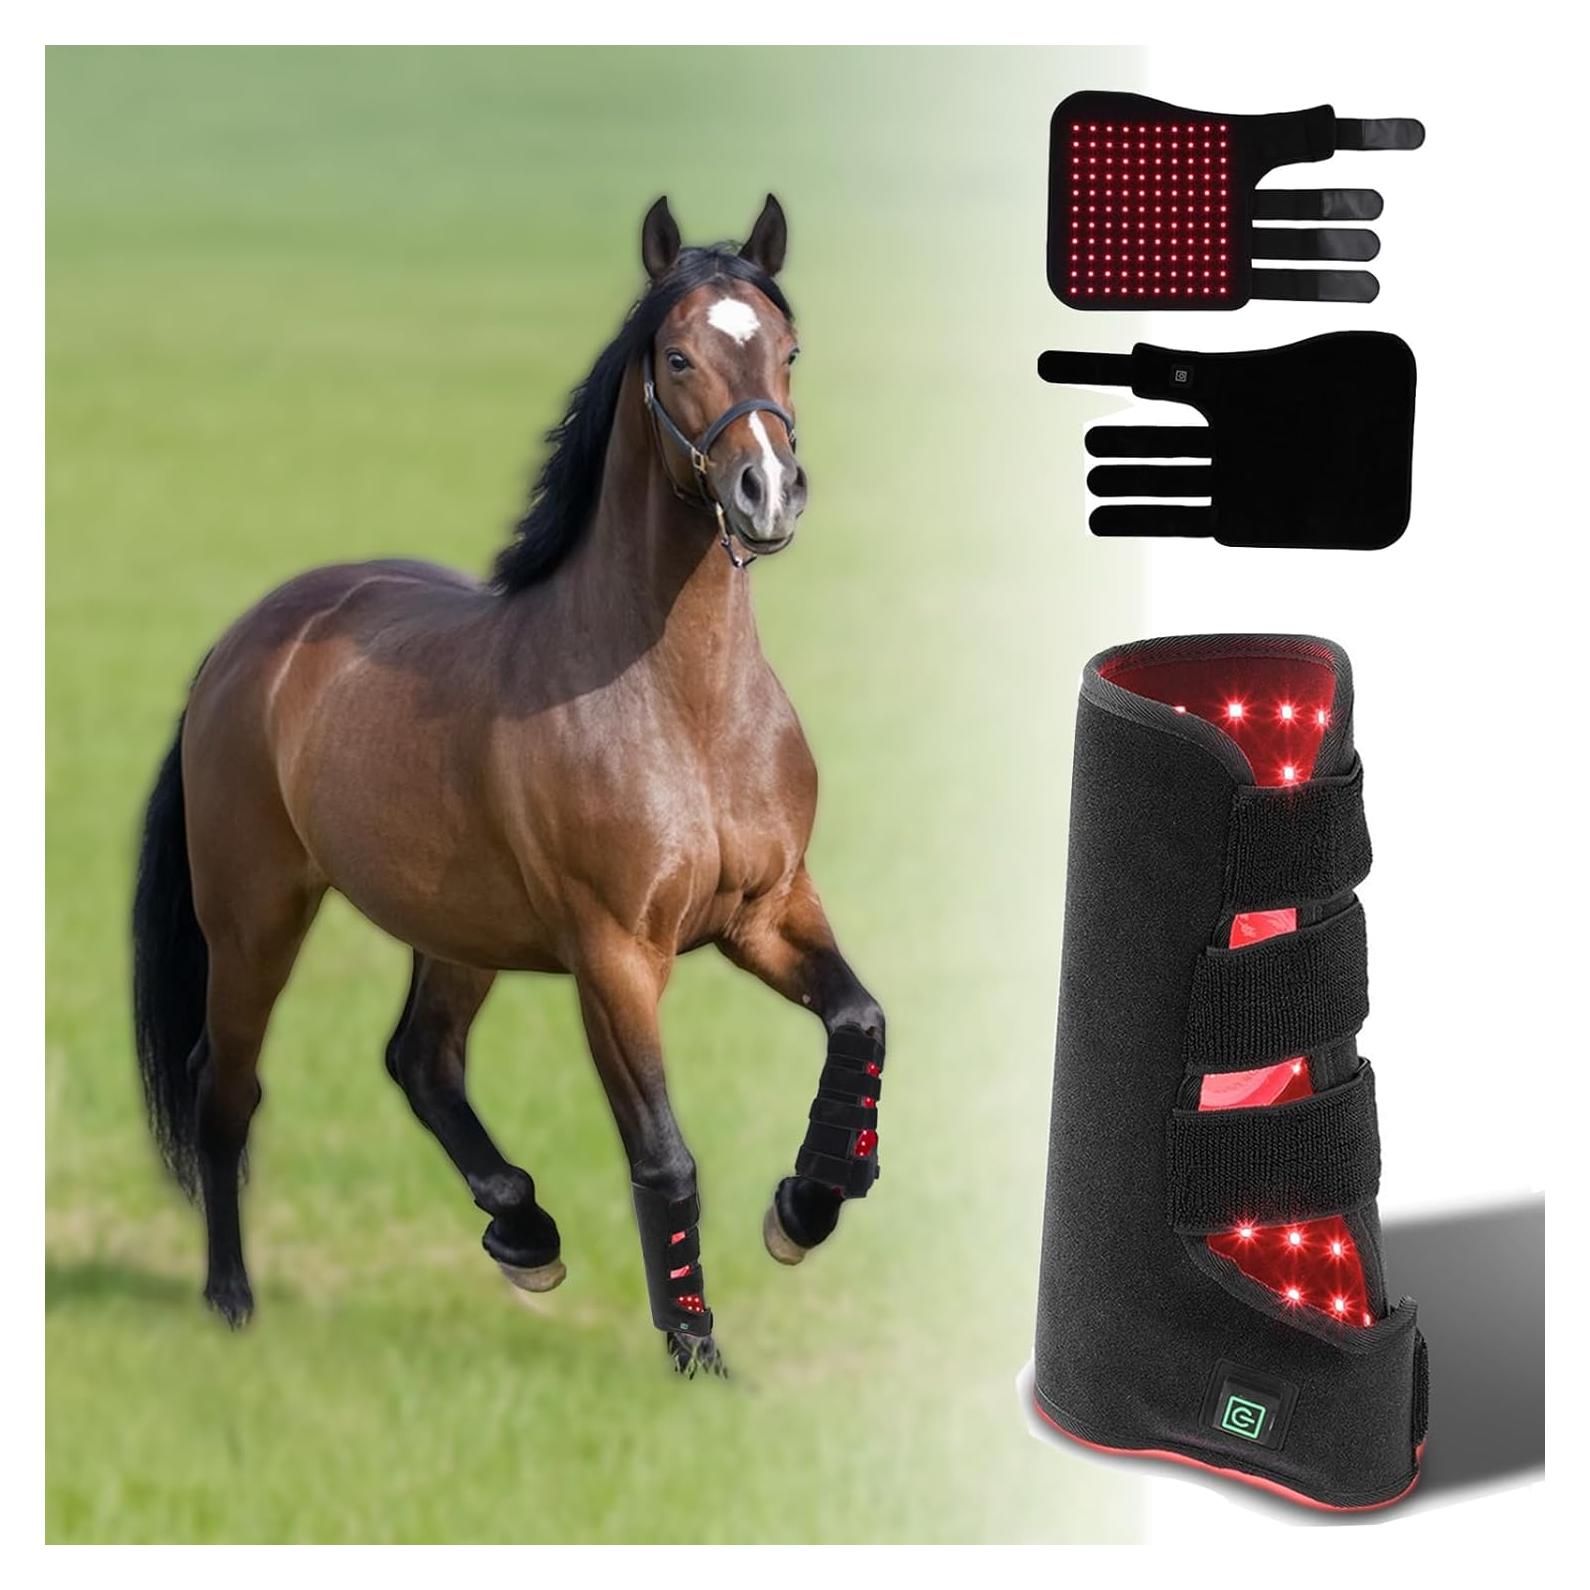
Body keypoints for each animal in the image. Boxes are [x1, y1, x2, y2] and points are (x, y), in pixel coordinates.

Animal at [130, 195, 886, 1377]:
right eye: (677, 357)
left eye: (788, 349)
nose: (767, 494)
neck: (680, 704)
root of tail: (246, 643)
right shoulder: (617, 957)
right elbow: (664, 1156)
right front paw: (700, 1358)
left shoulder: (770, 910)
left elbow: (860, 1022)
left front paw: (804, 1210)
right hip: (255, 917)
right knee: (228, 1092)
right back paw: (232, 1302)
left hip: (457, 930)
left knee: (420, 1060)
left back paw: (525, 1235)